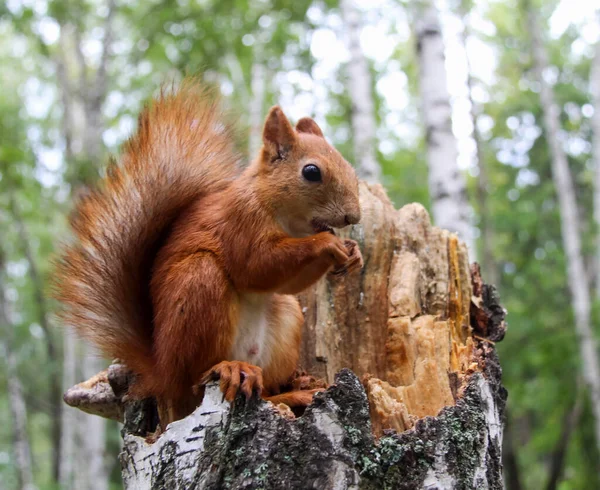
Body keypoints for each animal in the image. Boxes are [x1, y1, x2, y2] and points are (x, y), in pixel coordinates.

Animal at [56, 80, 364, 424]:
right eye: (311, 172)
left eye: (348, 165)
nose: (353, 216)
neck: (286, 217)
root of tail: (163, 374)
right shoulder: (239, 224)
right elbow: (257, 266)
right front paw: (327, 244)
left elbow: (286, 282)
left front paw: (354, 253)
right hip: (199, 285)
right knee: (196, 378)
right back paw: (230, 368)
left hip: (285, 319)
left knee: (266, 388)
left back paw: (292, 392)